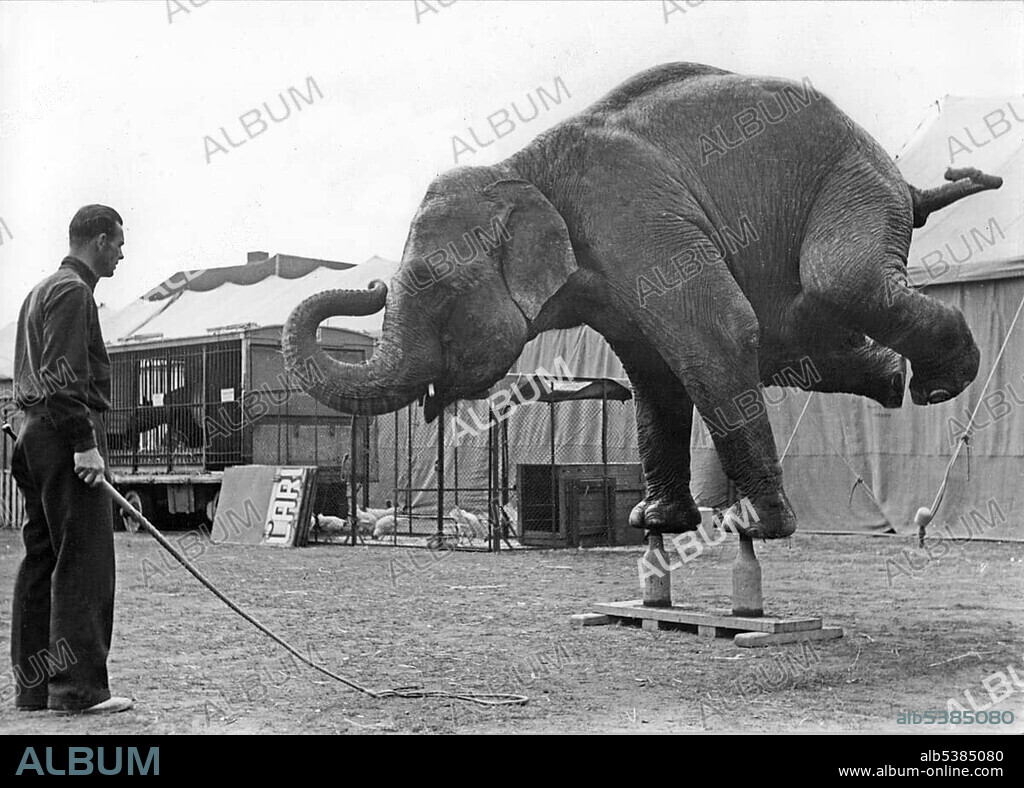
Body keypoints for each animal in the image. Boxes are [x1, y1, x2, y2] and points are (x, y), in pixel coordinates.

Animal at [283, 62, 1000, 540]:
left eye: (432, 283)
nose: (370, 284)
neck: (522, 167)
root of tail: (906, 180)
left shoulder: (636, 219)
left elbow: (714, 334)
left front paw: (755, 528)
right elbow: (654, 371)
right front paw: (654, 522)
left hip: (853, 180)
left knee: (839, 280)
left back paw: (940, 384)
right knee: (799, 336)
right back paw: (895, 380)